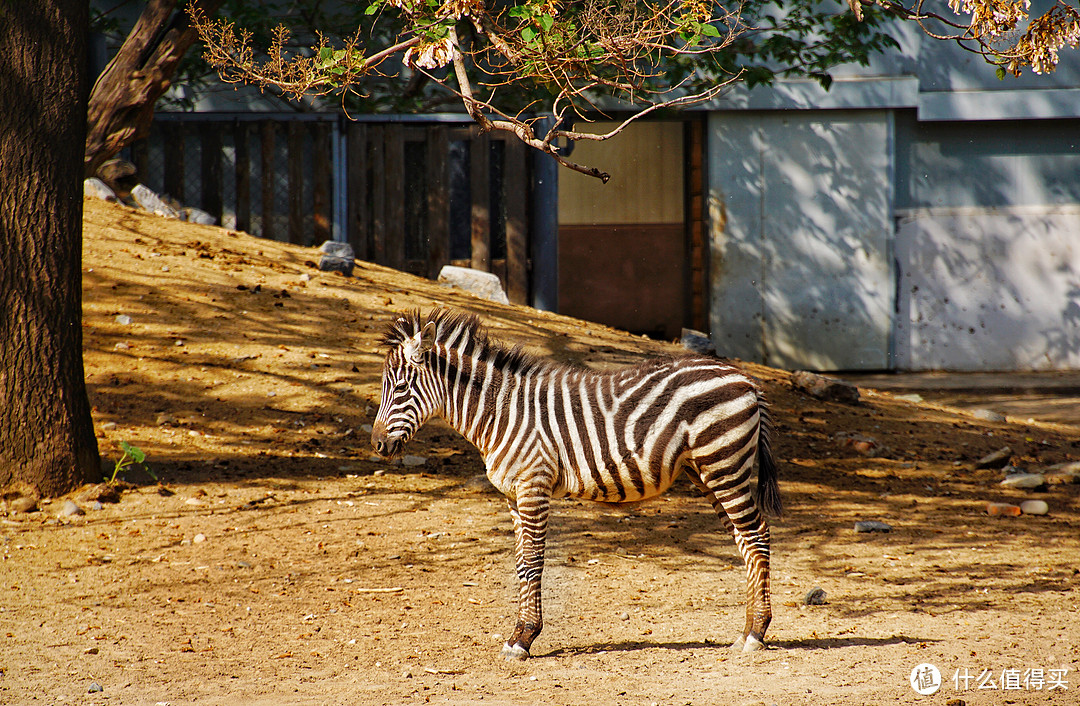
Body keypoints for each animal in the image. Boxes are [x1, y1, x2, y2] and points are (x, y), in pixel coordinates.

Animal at [367, 306, 781, 660]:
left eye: (400, 388)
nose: (377, 445)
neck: (500, 414)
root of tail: (747, 380)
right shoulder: (513, 495)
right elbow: (520, 563)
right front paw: (517, 634)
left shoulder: (533, 486)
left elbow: (534, 560)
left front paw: (524, 638)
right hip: (707, 471)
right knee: (745, 540)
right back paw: (747, 630)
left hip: (724, 464)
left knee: (757, 534)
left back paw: (756, 634)